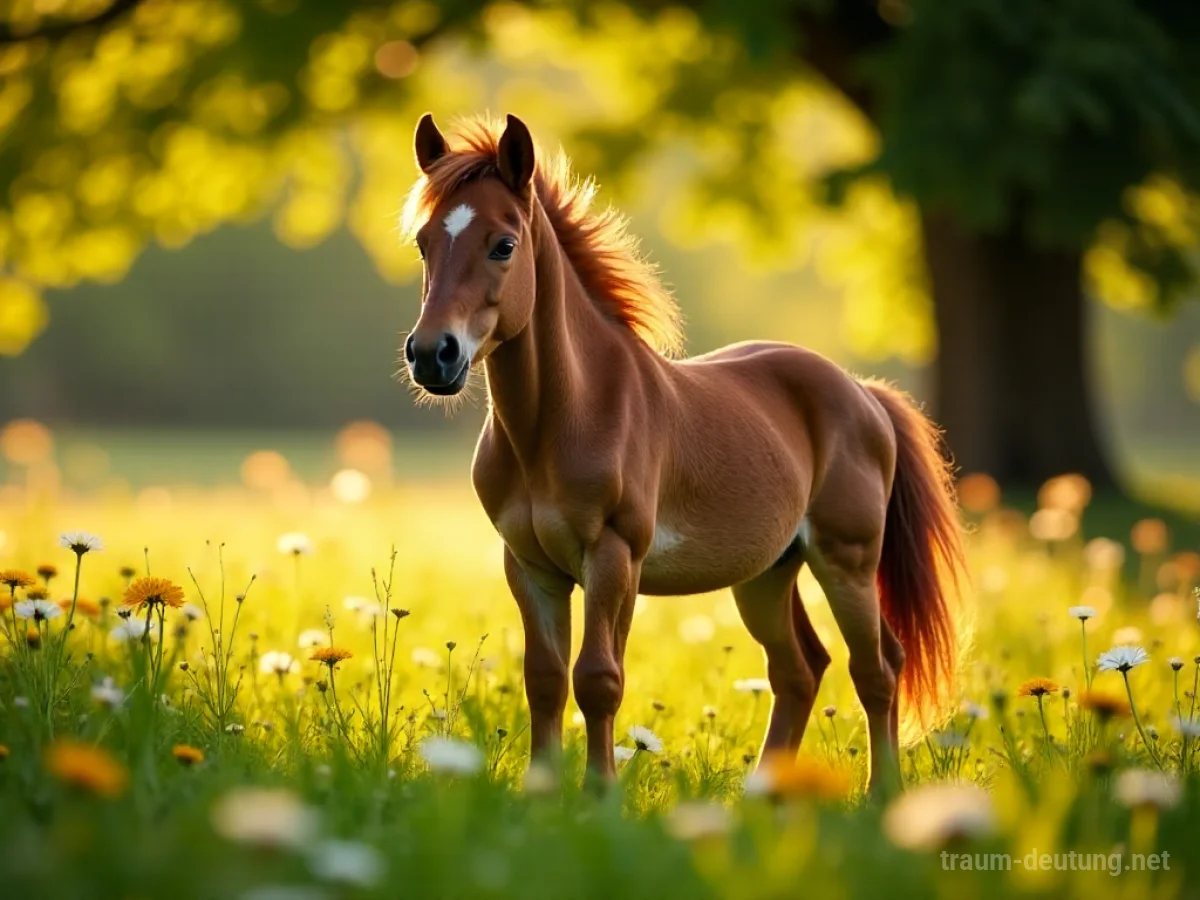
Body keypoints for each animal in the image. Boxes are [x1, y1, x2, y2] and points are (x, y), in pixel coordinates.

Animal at [400, 112, 968, 796]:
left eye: (503, 244)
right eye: (424, 243)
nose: (433, 355)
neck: (561, 422)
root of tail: (864, 394)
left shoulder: (614, 557)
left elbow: (599, 678)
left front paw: (600, 795)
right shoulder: (530, 566)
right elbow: (545, 679)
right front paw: (542, 794)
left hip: (847, 561)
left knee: (876, 668)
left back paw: (880, 795)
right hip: (768, 573)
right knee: (801, 668)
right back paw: (763, 795)